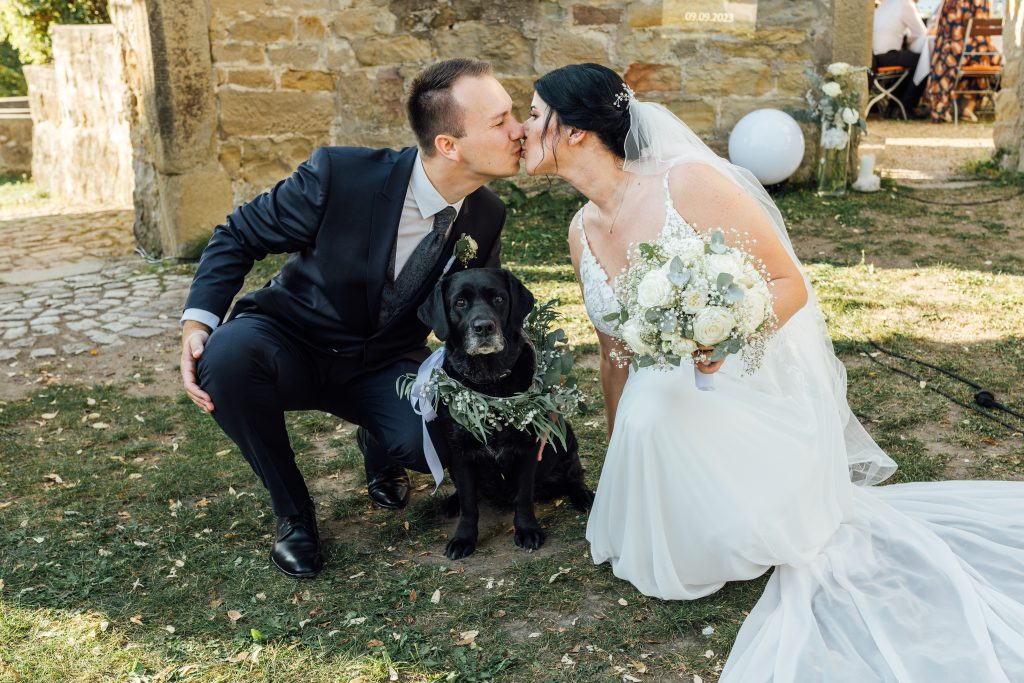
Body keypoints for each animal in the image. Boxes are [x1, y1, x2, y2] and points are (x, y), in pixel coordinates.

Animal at [417, 267, 595, 560]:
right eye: (460, 302)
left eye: (498, 299)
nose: (483, 327)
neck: (488, 384)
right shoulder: (460, 452)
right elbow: (468, 502)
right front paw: (463, 538)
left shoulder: (529, 448)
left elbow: (523, 496)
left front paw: (527, 530)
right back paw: (451, 503)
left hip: (565, 437)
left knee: (574, 475)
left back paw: (584, 495)